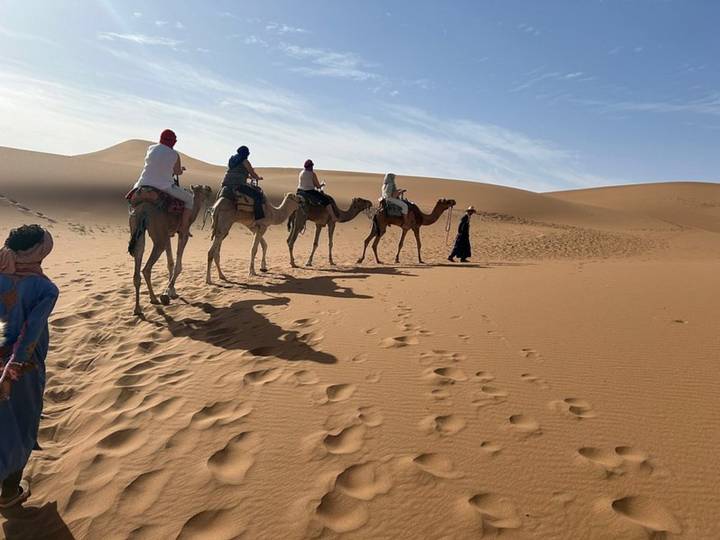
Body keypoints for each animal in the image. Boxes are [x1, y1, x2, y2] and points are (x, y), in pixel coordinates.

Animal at [128, 184, 214, 315]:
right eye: (203, 189)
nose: (209, 188)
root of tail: (143, 210)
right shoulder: (183, 233)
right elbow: (178, 265)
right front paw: (168, 291)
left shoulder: (167, 234)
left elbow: (170, 263)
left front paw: (171, 291)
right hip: (158, 235)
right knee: (146, 268)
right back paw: (153, 299)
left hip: (137, 228)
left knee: (139, 258)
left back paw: (140, 307)